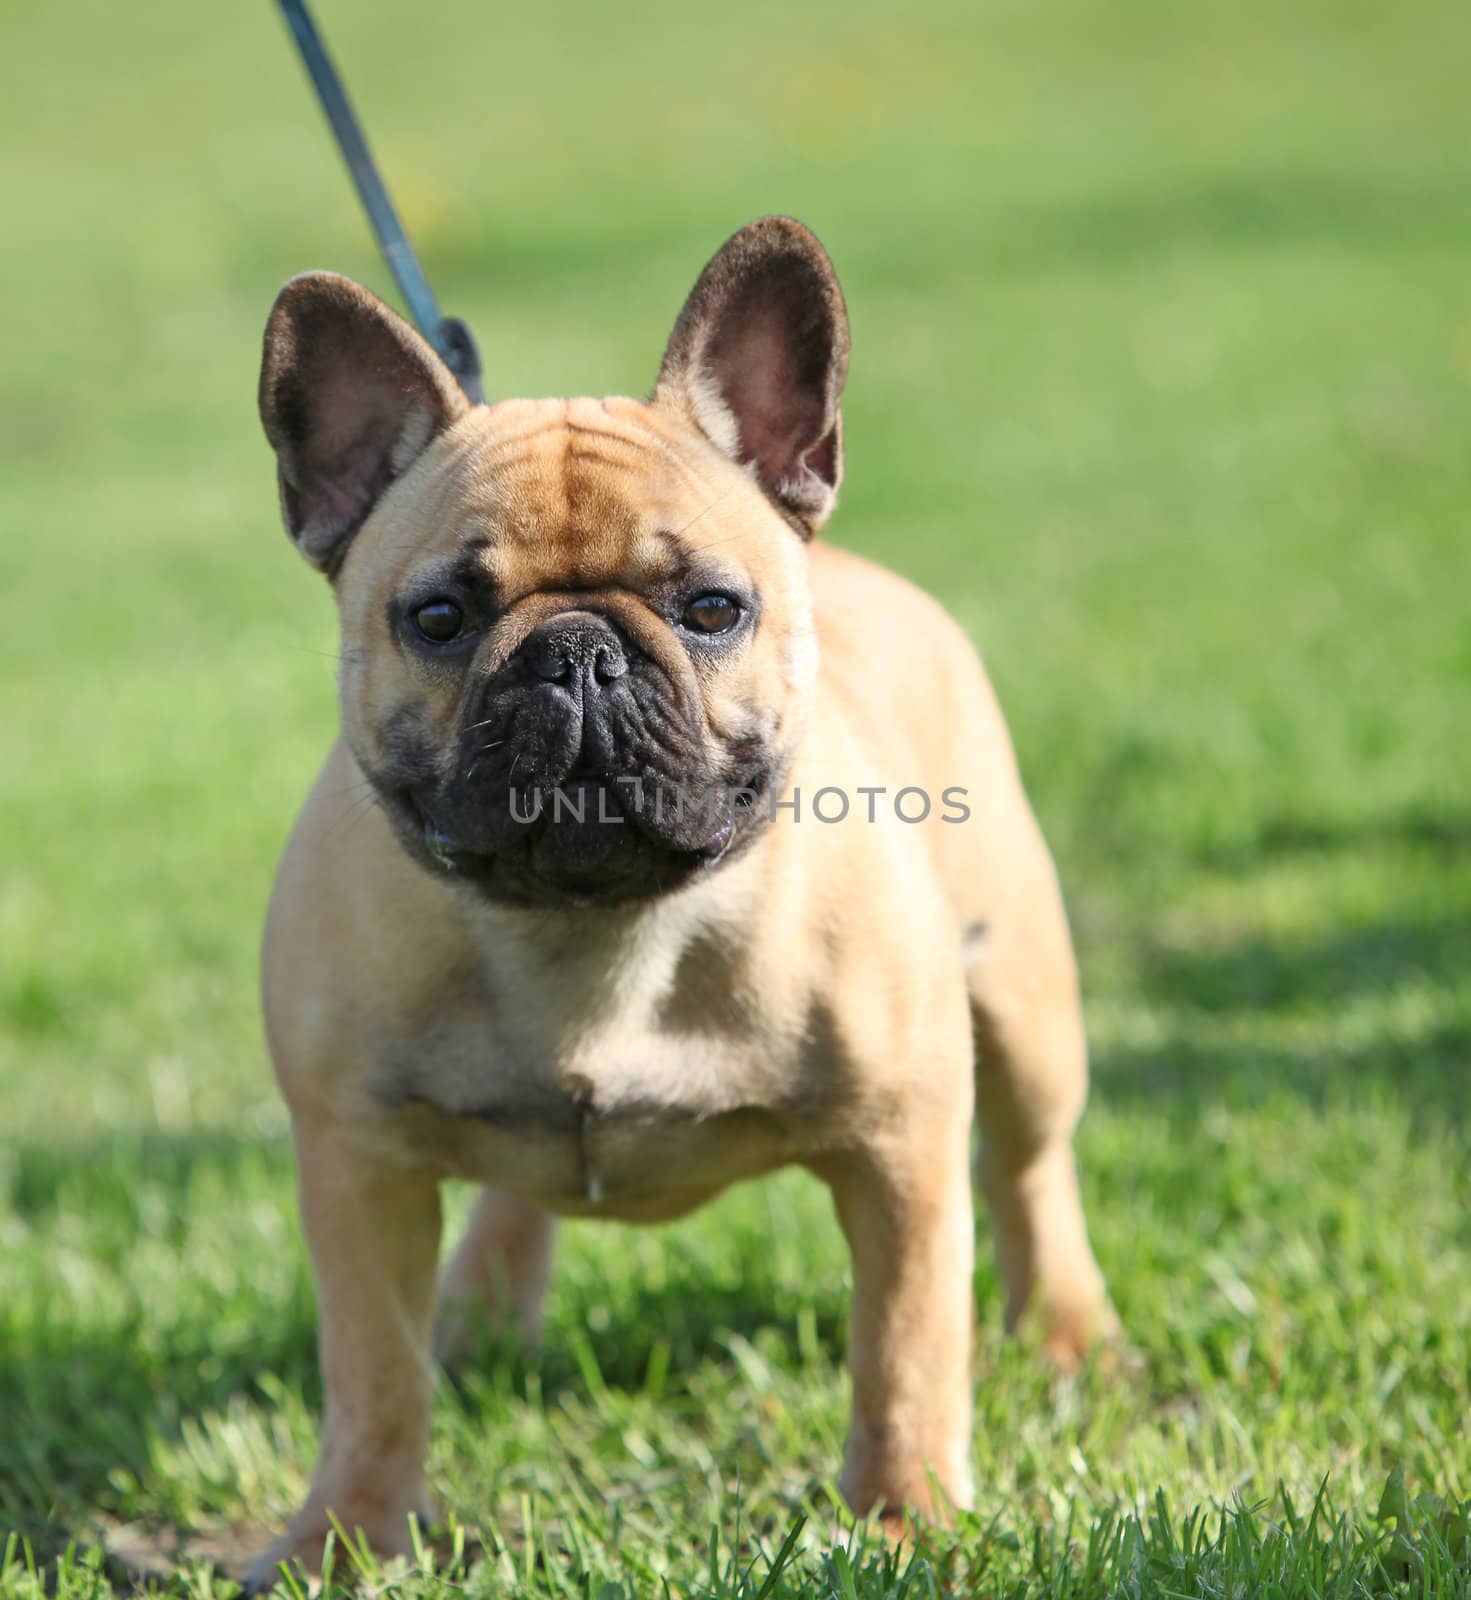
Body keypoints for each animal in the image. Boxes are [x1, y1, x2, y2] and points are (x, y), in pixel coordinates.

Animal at [244, 212, 1114, 1587]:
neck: (589, 928)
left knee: (1032, 1170)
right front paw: (344, 1538)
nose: (574, 651)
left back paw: (1071, 1333)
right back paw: (480, 1313)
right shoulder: (355, 1163)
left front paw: (904, 1519)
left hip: (1022, 1006)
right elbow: (373, 1376)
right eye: (436, 616)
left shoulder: (902, 1145)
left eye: (710, 608)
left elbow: (906, 1351)